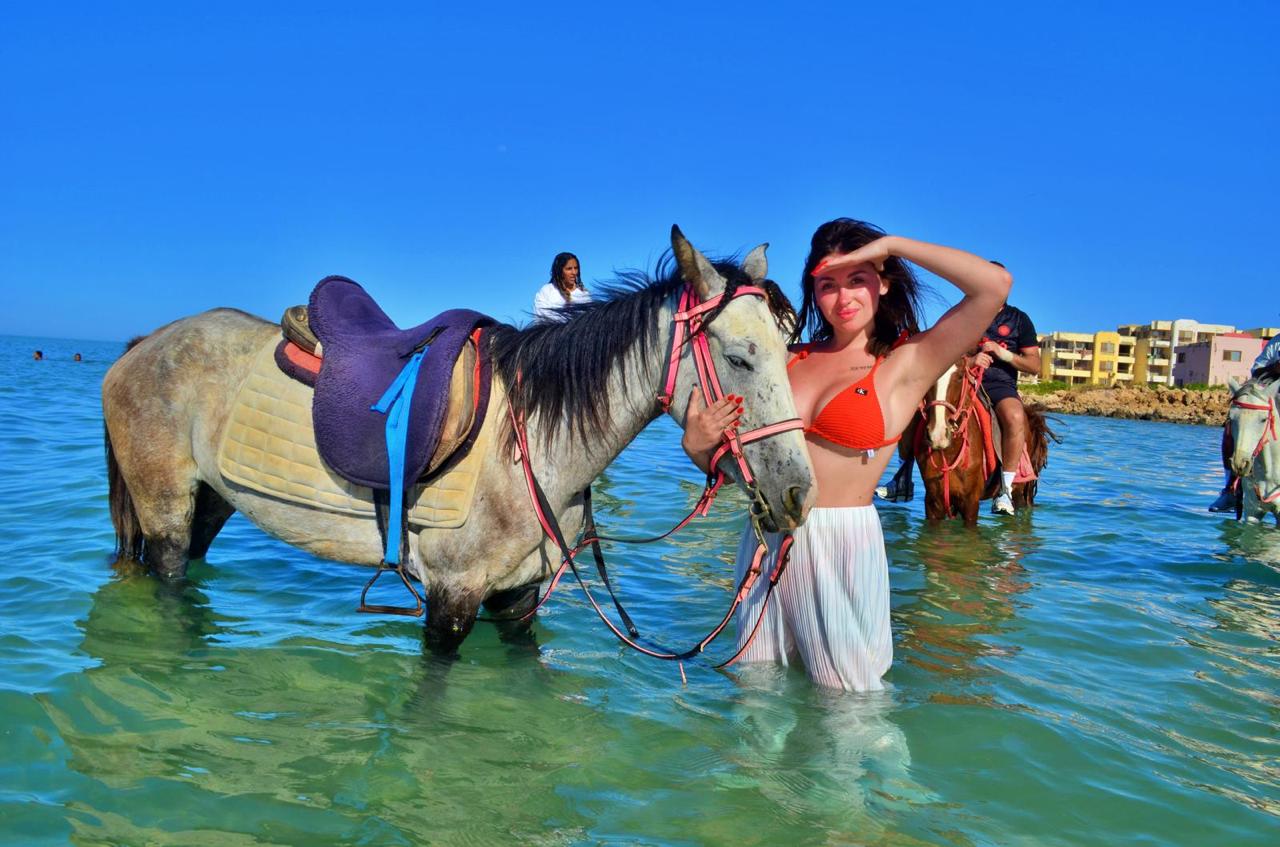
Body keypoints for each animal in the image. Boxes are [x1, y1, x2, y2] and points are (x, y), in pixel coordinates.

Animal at [102, 227, 816, 656]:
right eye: (739, 357)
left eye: (790, 350)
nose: (798, 495)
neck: (533, 443)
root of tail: (142, 344)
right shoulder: (451, 600)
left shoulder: (518, 601)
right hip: (164, 510)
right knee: (167, 577)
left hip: (210, 502)